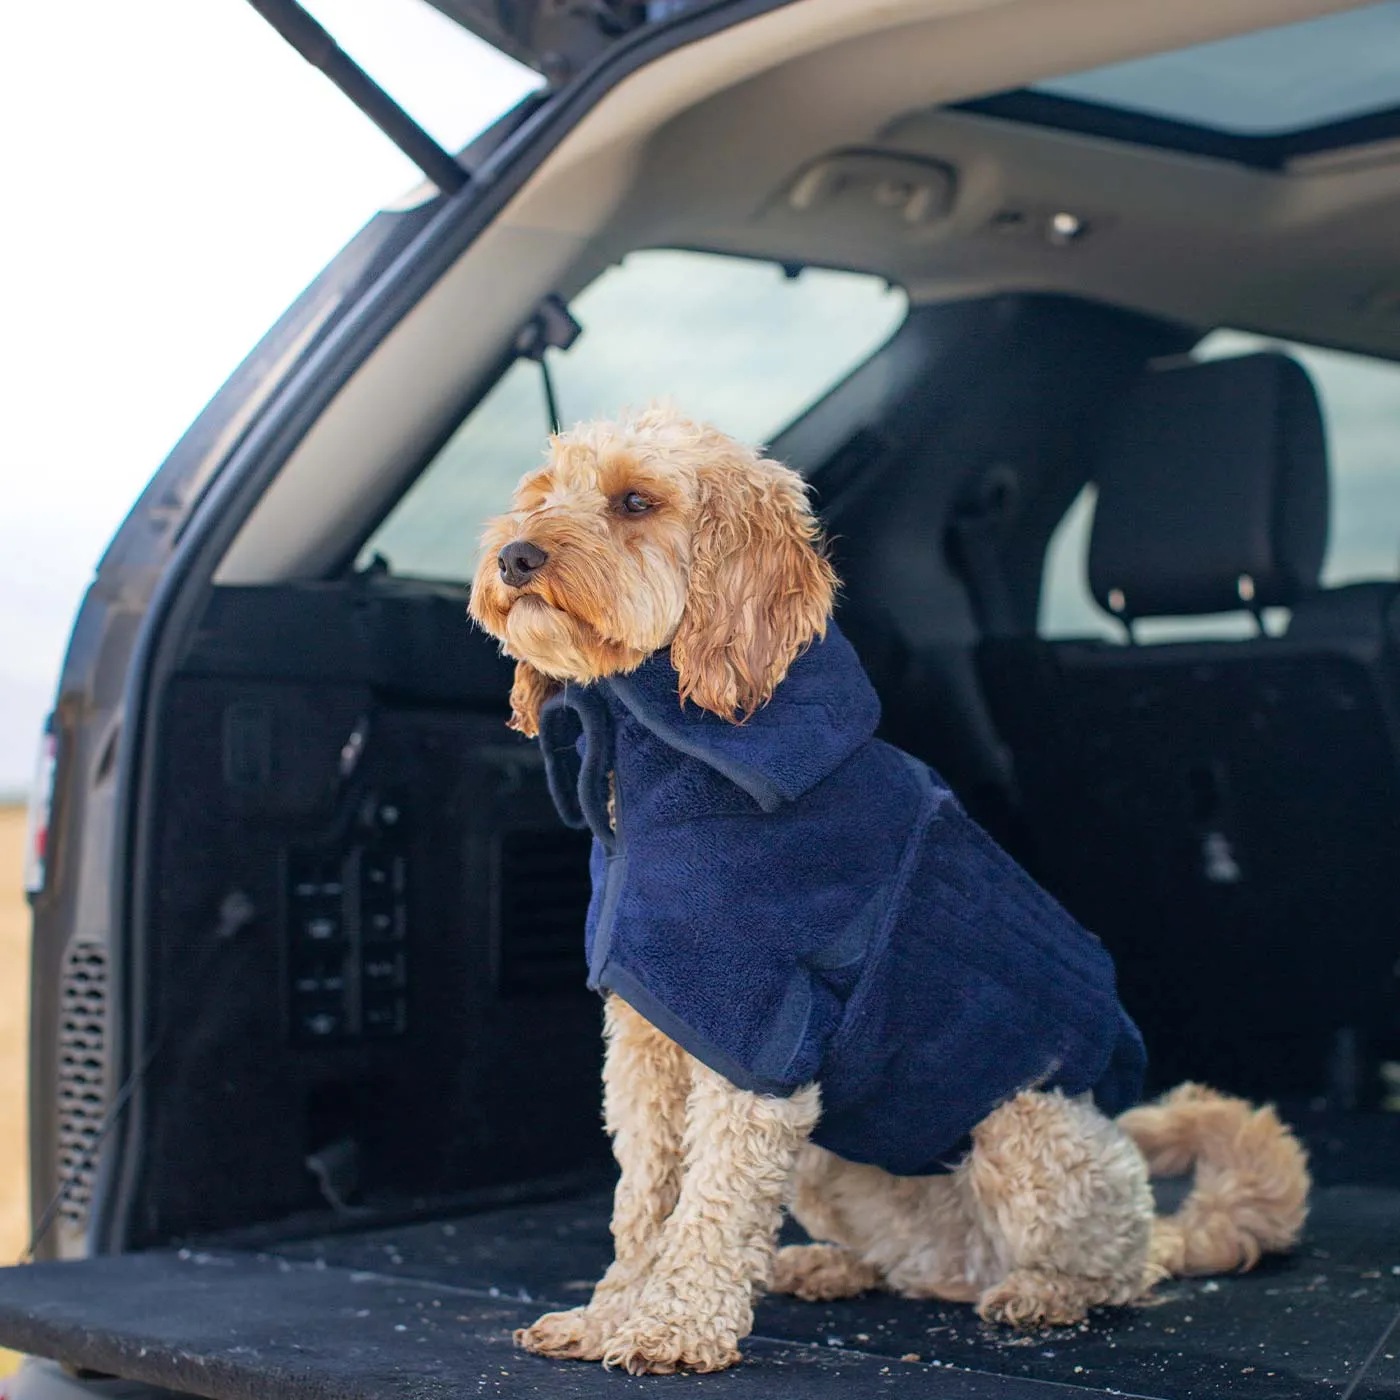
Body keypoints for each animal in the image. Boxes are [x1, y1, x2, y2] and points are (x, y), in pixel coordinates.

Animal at [470, 406, 1310, 1377]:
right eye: (542, 493)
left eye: (636, 502)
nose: (514, 556)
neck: (665, 764)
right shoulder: (646, 1047)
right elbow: (643, 1200)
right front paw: (608, 1316)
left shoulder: (762, 1039)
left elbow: (712, 1202)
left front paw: (674, 1327)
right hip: (835, 1163)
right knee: (914, 1270)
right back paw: (829, 1267)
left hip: (1029, 1128)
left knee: (1120, 1270)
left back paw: (1046, 1292)